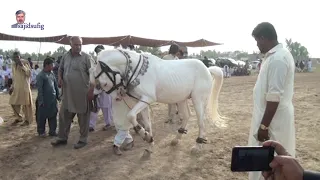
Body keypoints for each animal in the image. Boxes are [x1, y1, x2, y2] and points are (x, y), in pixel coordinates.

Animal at [89, 47, 224, 155]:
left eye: (103, 83)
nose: (118, 97)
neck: (137, 71)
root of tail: (207, 69)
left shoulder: (147, 98)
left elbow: (130, 115)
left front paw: (143, 135)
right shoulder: (141, 101)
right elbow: (146, 123)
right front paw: (149, 141)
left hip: (198, 99)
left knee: (201, 122)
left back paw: (197, 146)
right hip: (181, 99)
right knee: (186, 116)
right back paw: (176, 139)